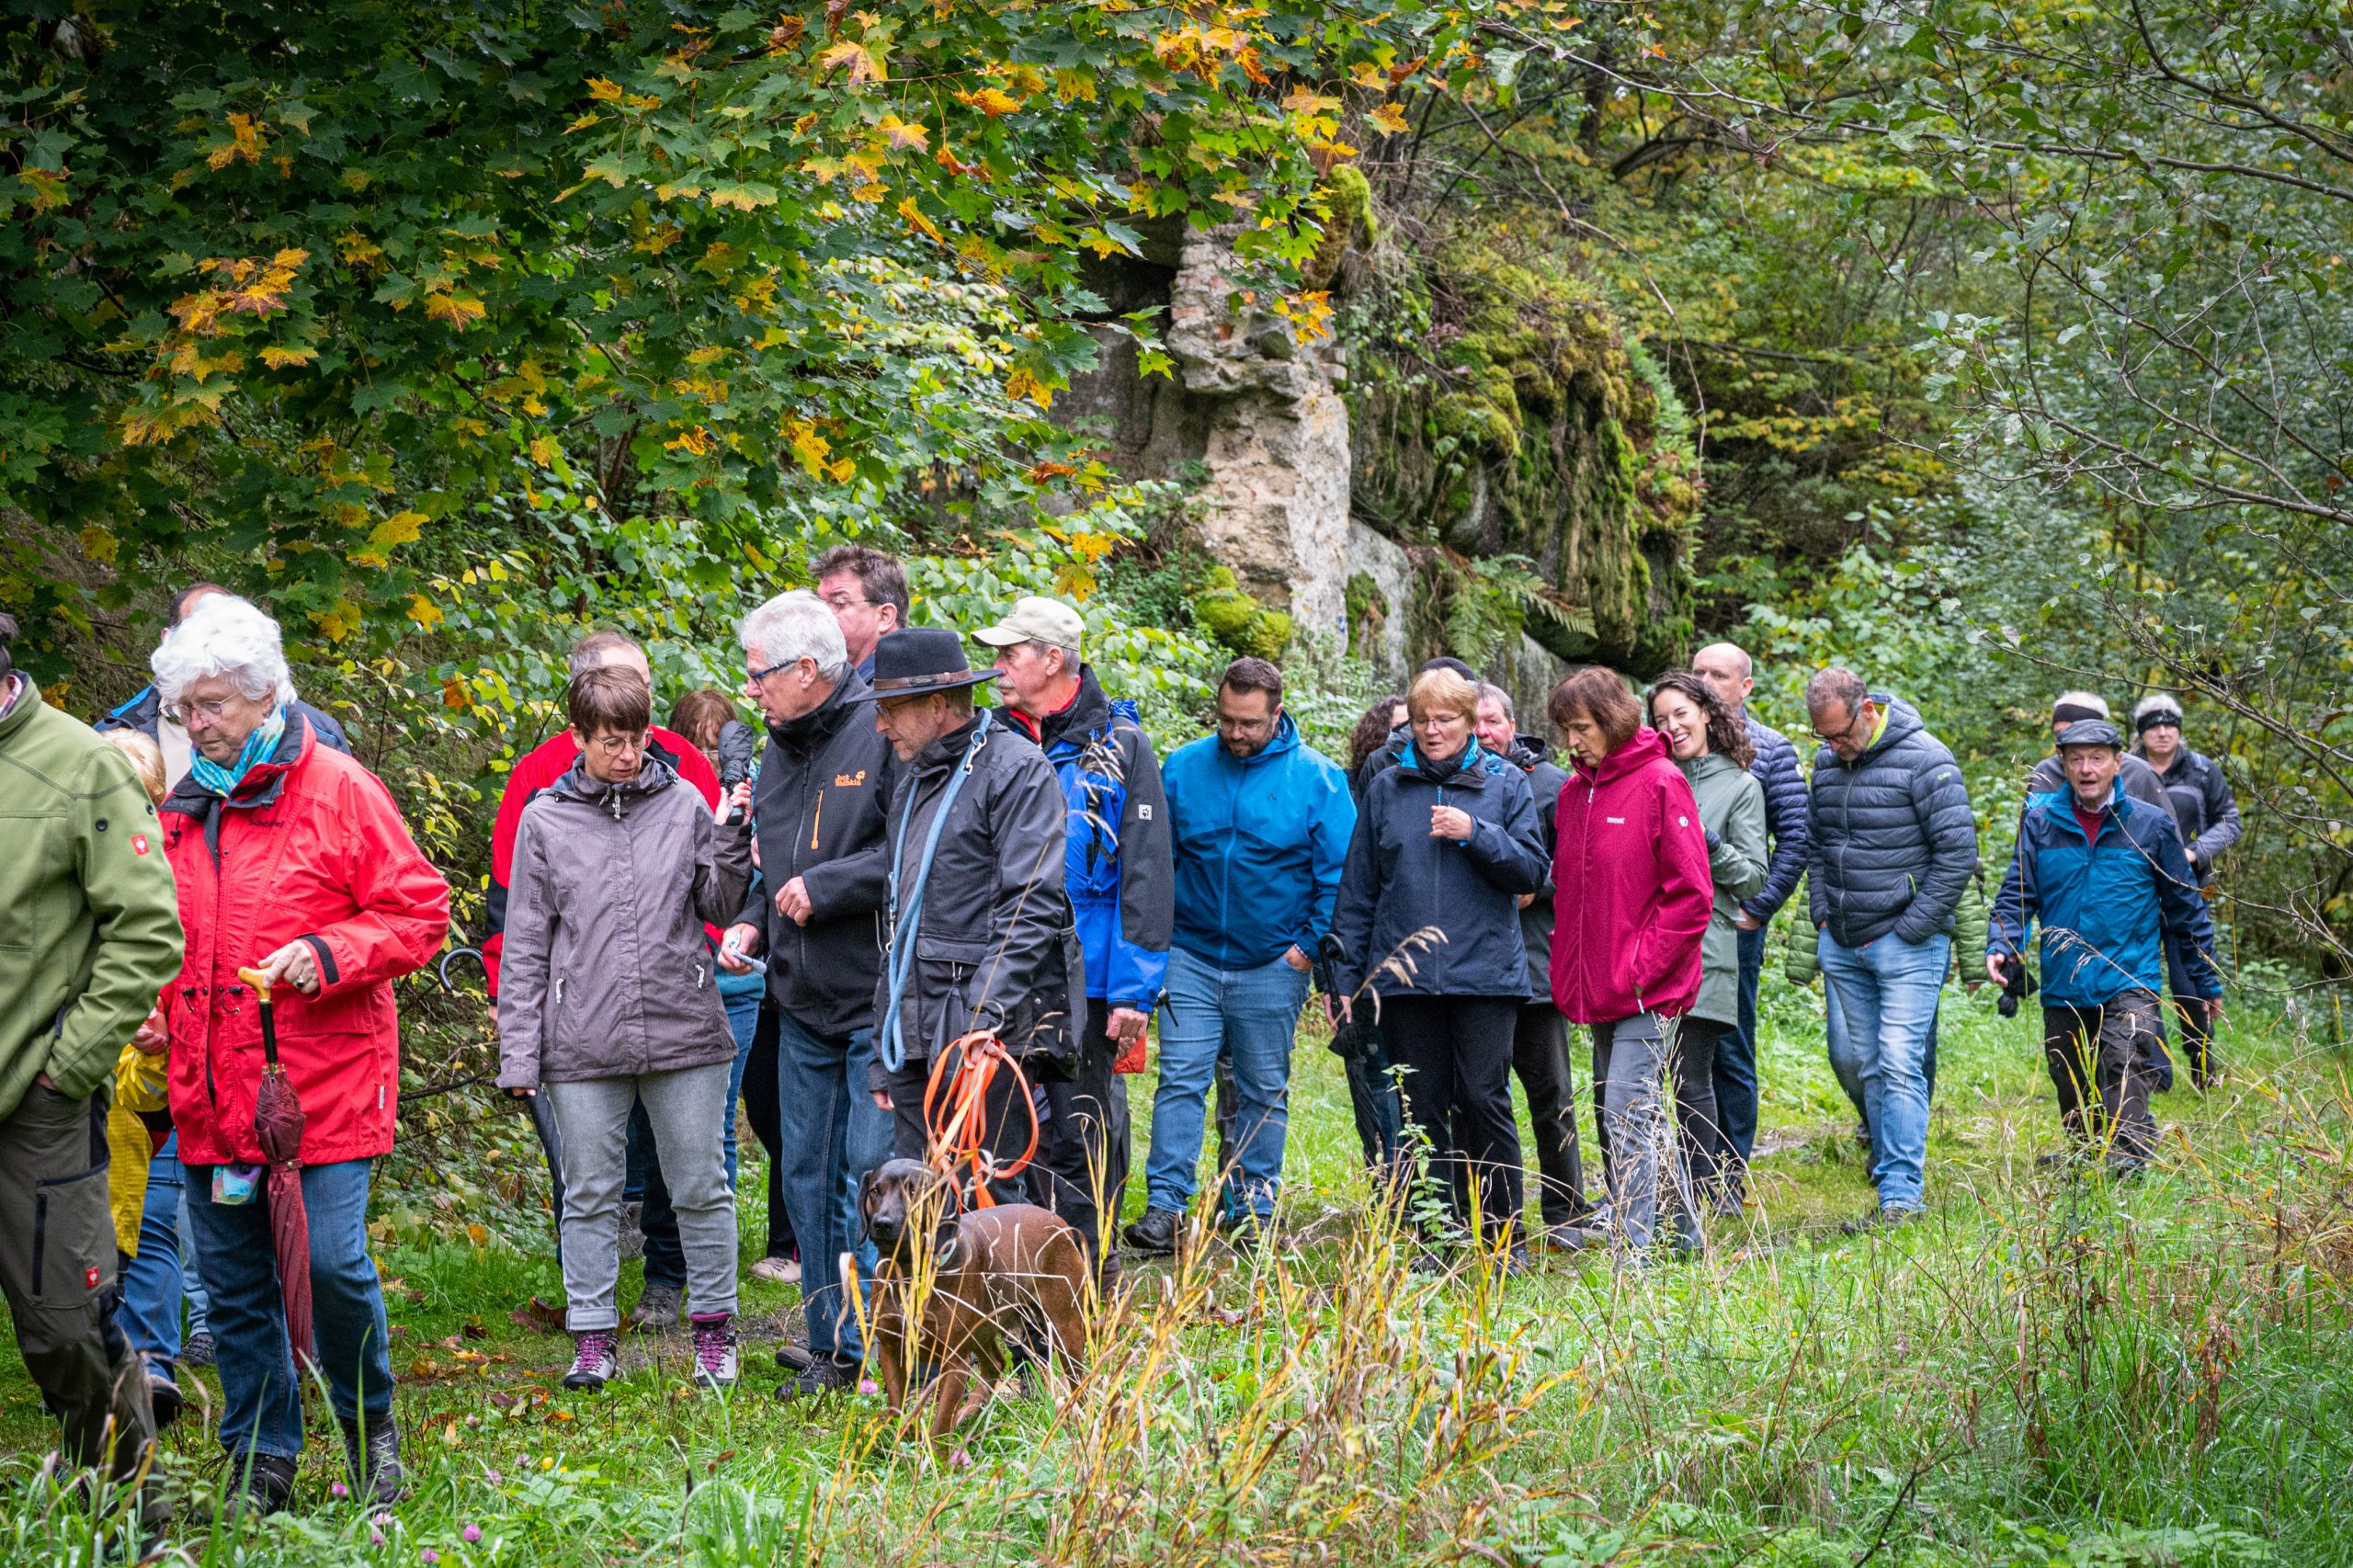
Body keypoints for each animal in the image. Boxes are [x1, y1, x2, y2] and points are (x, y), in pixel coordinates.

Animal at [856, 1153, 1091, 1431]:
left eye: (915, 1191)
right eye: (875, 1191)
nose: (882, 1224)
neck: (910, 1273)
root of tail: (1059, 1223)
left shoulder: (954, 1360)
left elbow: (940, 1423)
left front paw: (935, 1443)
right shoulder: (891, 1347)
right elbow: (898, 1409)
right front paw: (904, 1439)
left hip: (1066, 1328)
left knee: (1077, 1380)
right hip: (982, 1329)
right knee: (996, 1363)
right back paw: (968, 1412)